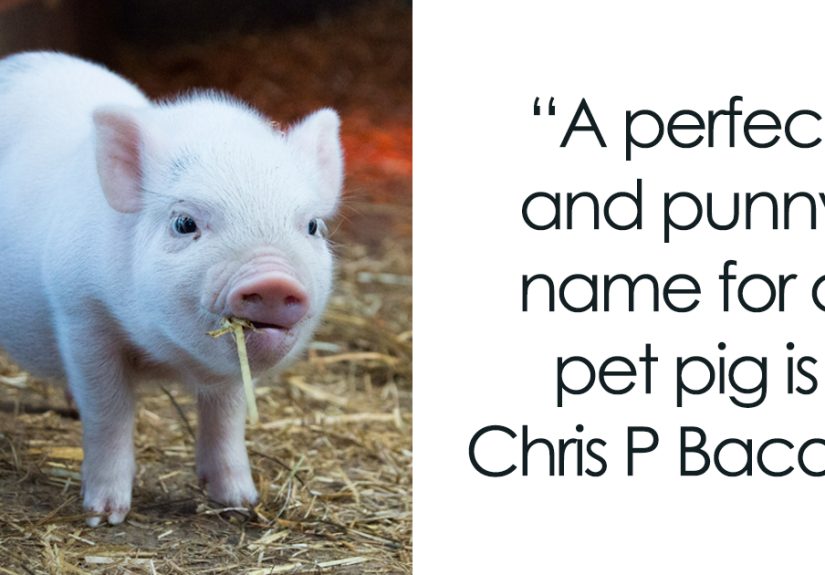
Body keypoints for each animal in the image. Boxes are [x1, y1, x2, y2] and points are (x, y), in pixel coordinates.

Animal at [0, 52, 343, 526]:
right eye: (184, 223)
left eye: (312, 226)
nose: (273, 280)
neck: (167, 359)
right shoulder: (81, 315)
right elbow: (109, 412)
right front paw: (105, 516)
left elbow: (226, 418)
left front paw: (240, 502)